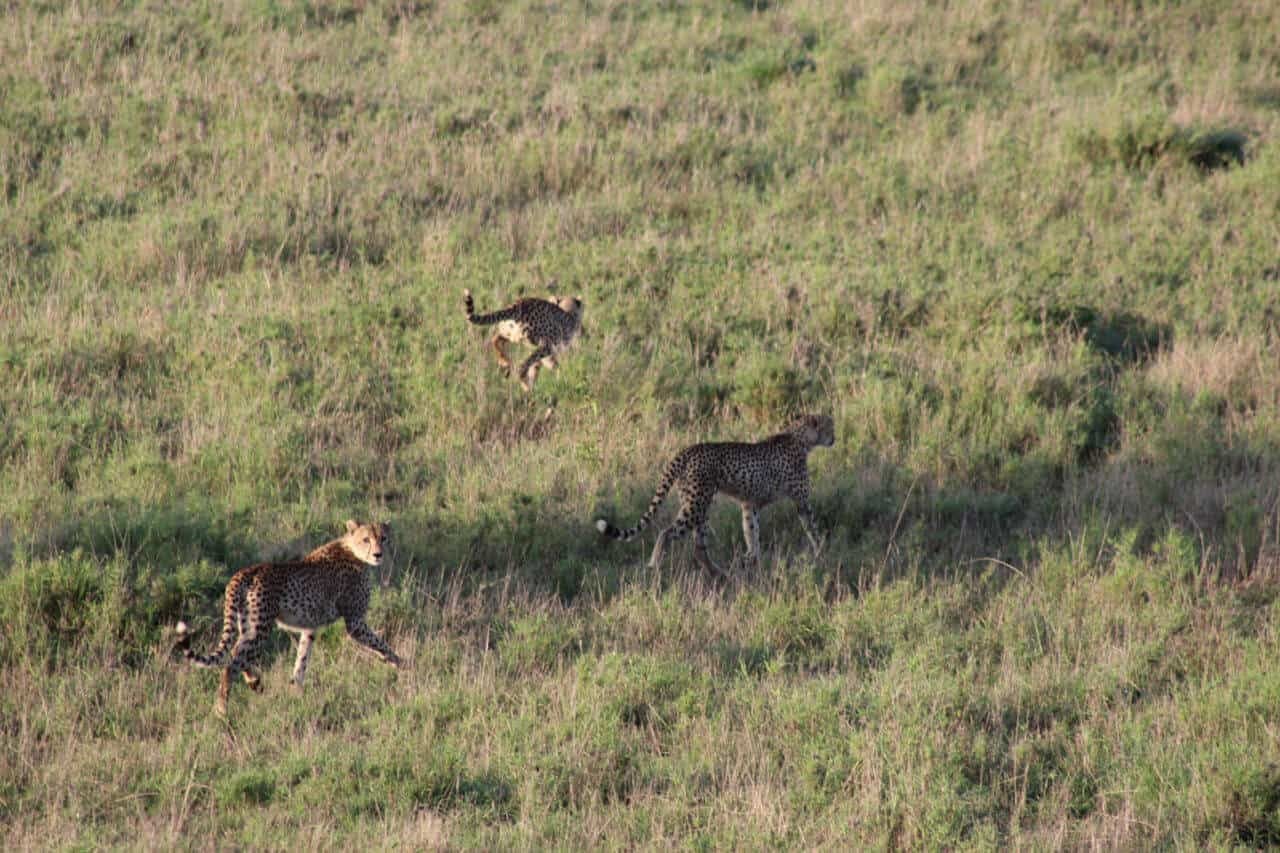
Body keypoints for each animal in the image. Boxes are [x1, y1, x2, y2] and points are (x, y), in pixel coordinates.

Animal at [171, 517, 399, 712]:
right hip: (260, 626)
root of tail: (245, 571)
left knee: (237, 654)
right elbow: (381, 644)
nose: (378, 554)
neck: (352, 550)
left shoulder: (310, 627)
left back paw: (255, 683)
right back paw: (222, 710)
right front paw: (400, 665)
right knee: (232, 663)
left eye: (383, 538)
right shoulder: (355, 622)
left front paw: (296, 692)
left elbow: (302, 659)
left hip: (248, 625)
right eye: (366, 539)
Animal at [593, 412, 834, 573]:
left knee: (698, 547)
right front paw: (822, 553)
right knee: (667, 532)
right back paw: (656, 563)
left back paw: (719, 574)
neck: (800, 437)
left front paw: (752, 558)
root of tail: (688, 449)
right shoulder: (802, 502)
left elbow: (751, 531)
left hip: (697, 504)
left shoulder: (749, 504)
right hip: (697, 503)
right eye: (829, 426)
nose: (834, 438)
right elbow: (813, 529)